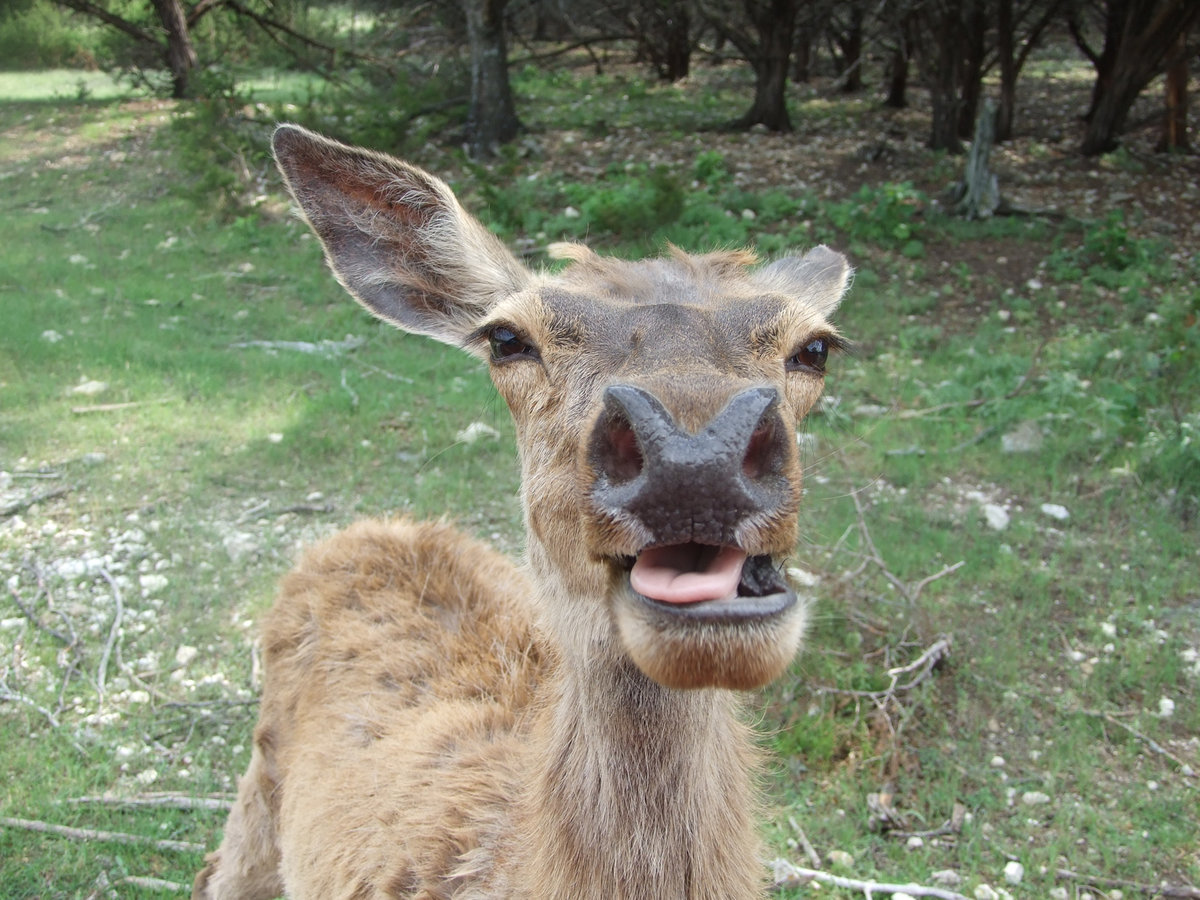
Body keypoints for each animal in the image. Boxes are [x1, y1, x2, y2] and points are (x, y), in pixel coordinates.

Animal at [192, 124, 851, 900]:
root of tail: (371, 527)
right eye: (507, 338)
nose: (695, 457)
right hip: (260, 793)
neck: (506, 859)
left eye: (816, 347)